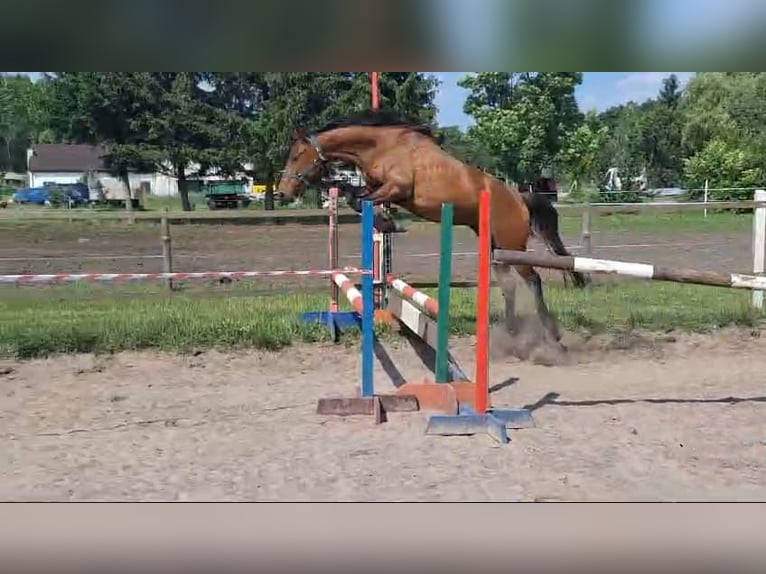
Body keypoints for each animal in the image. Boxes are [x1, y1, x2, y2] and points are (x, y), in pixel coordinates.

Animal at [280, 111, 592, 348]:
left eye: (296, 155)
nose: (283, 193)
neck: (383, 146)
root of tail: (519, 198)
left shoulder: (396, 188)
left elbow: (358, 199)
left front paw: (388, 223)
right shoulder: (378, 188)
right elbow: (351, 194)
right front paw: (385, 221)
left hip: (511, 245)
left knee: (533, 280)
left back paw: (552, 333)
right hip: (496, 249)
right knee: (510, 285)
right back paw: (512, 330)